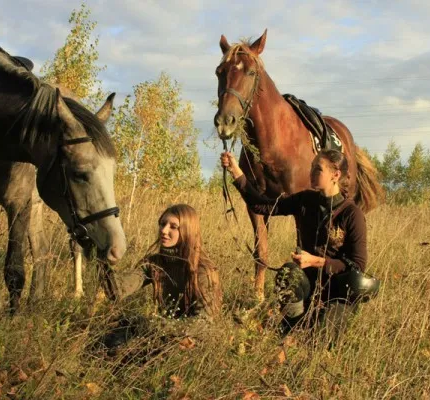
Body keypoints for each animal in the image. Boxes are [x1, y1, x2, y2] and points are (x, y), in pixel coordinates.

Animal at [213, 30, 382, 300]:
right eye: (219, 71)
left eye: (251, 72)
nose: (224, 122)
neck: (273, 144)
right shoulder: (256, 206)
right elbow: (261, 252)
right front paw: (257, 298)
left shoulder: (298, 207)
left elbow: (301, 251)